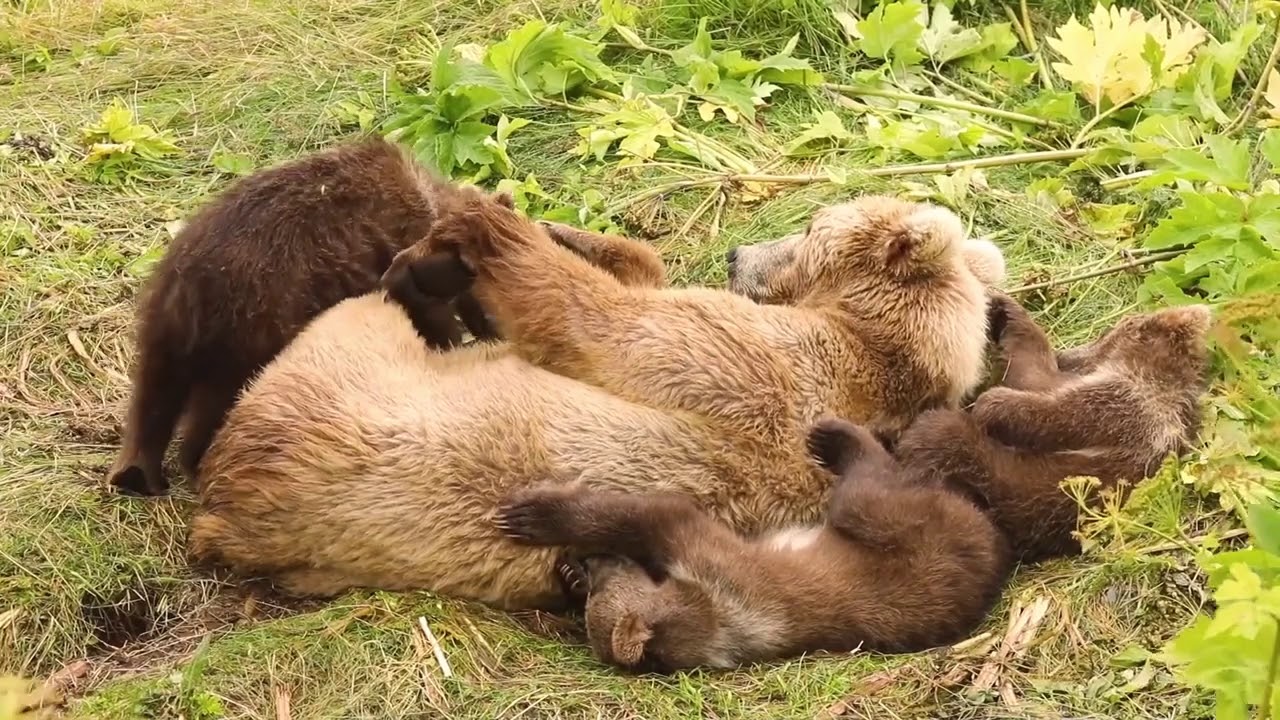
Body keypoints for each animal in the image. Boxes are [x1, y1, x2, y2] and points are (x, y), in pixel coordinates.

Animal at [108, 140, 499, 499]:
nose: (494, 329)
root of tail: (190, 286)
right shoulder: (402, 251)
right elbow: (429, 318)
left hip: (166, 322)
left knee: (153, 398)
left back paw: (138, 475)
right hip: (252, 325)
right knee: (214, 402)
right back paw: (203, 462)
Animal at [494, 415, 1003, 666]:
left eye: (603, 586)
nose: (587, 565)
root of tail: (993, 543)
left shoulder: (711, 564)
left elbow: (651, 513)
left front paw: (531, 514)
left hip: (900, 529)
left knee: (867, 487)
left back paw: (831, 436)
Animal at [890, 293, 1208, 561]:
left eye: (1108, 332)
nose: (1067, 354)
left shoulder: (1125, 405)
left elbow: (1051, 404)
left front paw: (993, 403)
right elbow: (1034, 373)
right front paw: (1005, 310)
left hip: (1006, 486)